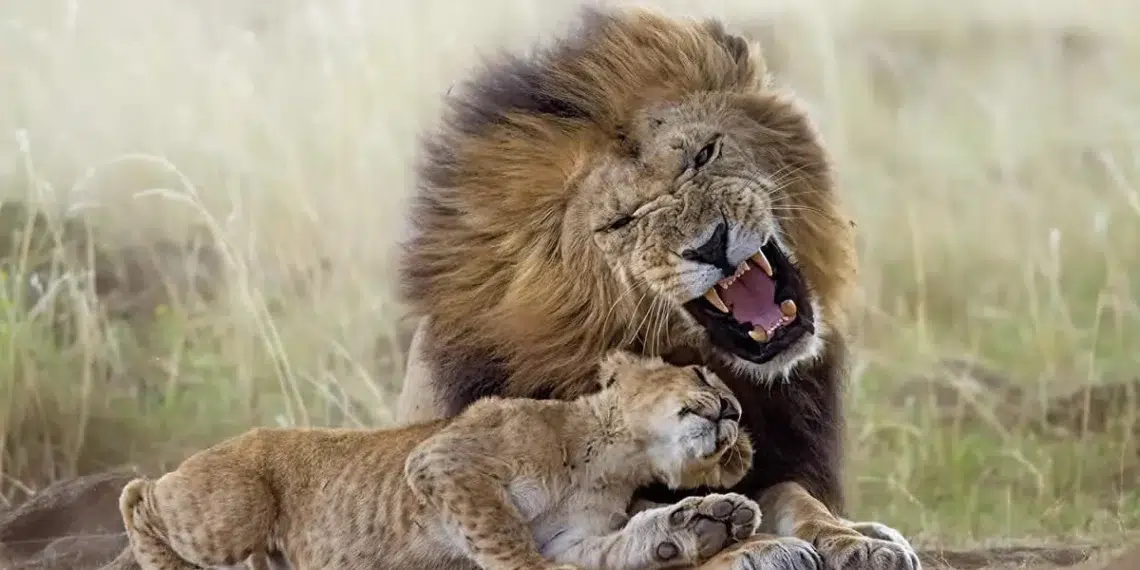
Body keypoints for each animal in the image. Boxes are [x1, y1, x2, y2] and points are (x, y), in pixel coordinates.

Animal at [114, 352, 765, 570]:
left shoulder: (575, 537)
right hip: (235, 510)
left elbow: (625, 544)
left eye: (739, 434)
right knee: (137, 494)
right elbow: (503, 537)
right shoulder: (443, 460)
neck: (613, 462)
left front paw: (706, 523)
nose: (733, 410)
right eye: (702, 372)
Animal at [397, 6, 922, 570]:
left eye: (704, 154)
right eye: (623, 221)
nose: (712, 245)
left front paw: (852, 539)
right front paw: (747, 544)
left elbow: (792, 495)